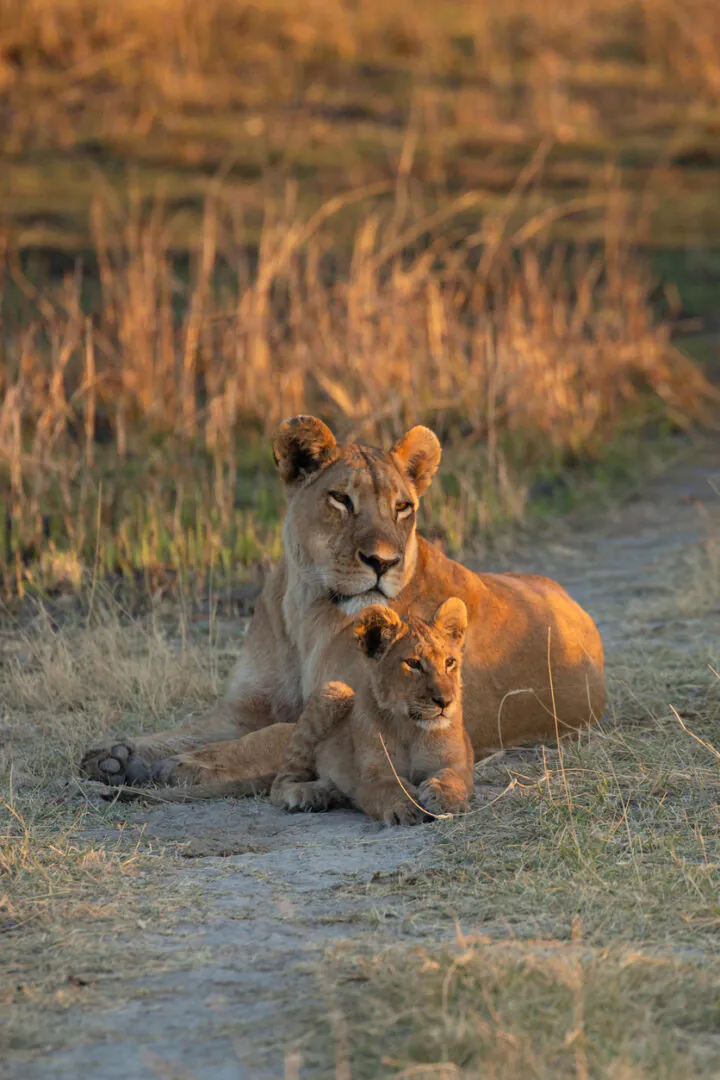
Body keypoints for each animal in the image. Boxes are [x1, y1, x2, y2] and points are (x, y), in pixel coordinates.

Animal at [80, 415, 605, 793]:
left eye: (402, 507)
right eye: (340, 500)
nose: (383, 561)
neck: (308, 608)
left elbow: (272, 737)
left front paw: (182, 767)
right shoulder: (245, 707)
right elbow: (185, 727)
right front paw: (116, 756)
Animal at [269, 599, 473, 826]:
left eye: (449, 662)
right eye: (413, 663)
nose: (445, 701)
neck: (410, 729)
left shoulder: (457, 764)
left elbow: (450, 777)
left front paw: (447, 802)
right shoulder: (372, 777)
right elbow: (390, 788)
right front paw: (406, 807)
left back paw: (328, 792)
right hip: (333, 689)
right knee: (279, 783)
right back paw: (307, 795)